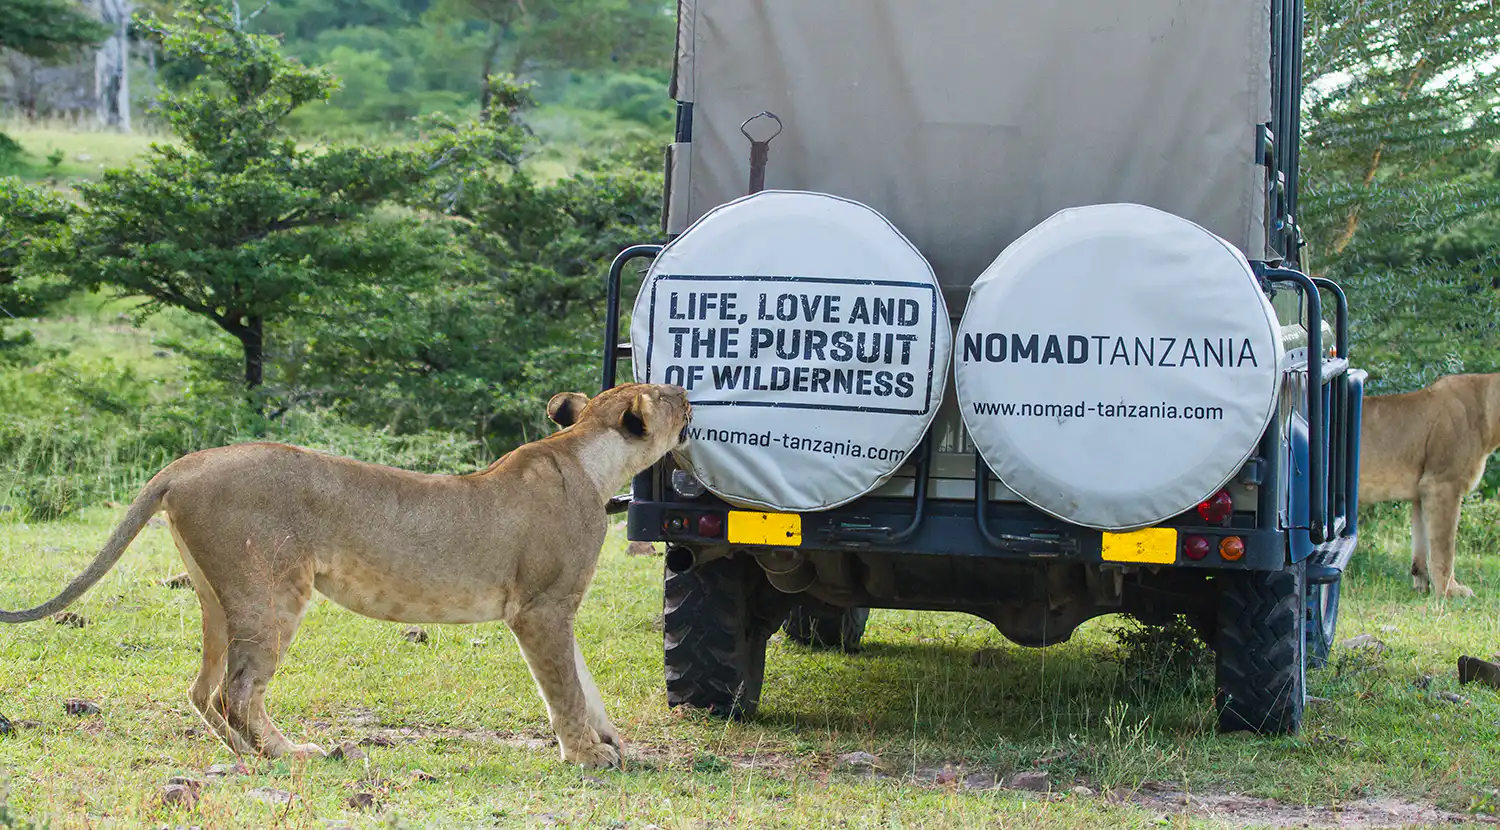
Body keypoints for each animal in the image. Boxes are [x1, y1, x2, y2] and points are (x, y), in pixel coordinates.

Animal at [0, 383, 691, 768]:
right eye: (666, 394)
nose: (688, 392)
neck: (592, 461)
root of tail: (185, 464)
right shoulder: (540, 608)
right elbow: (565, 689)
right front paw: (588, 756)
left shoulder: (557, 607)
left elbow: (584, 681)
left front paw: (611, 740)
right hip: (275, 590)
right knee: (236, 691)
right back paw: (291, 755)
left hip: (217, 598)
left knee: (203, 690)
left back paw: (247, 755)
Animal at [1359, 372, 1500, 599]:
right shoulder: (1442, 484)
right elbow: (1444, 549)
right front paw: (1449, 592)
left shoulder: (1422, 492)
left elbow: (1422, 545)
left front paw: (1422, 587)